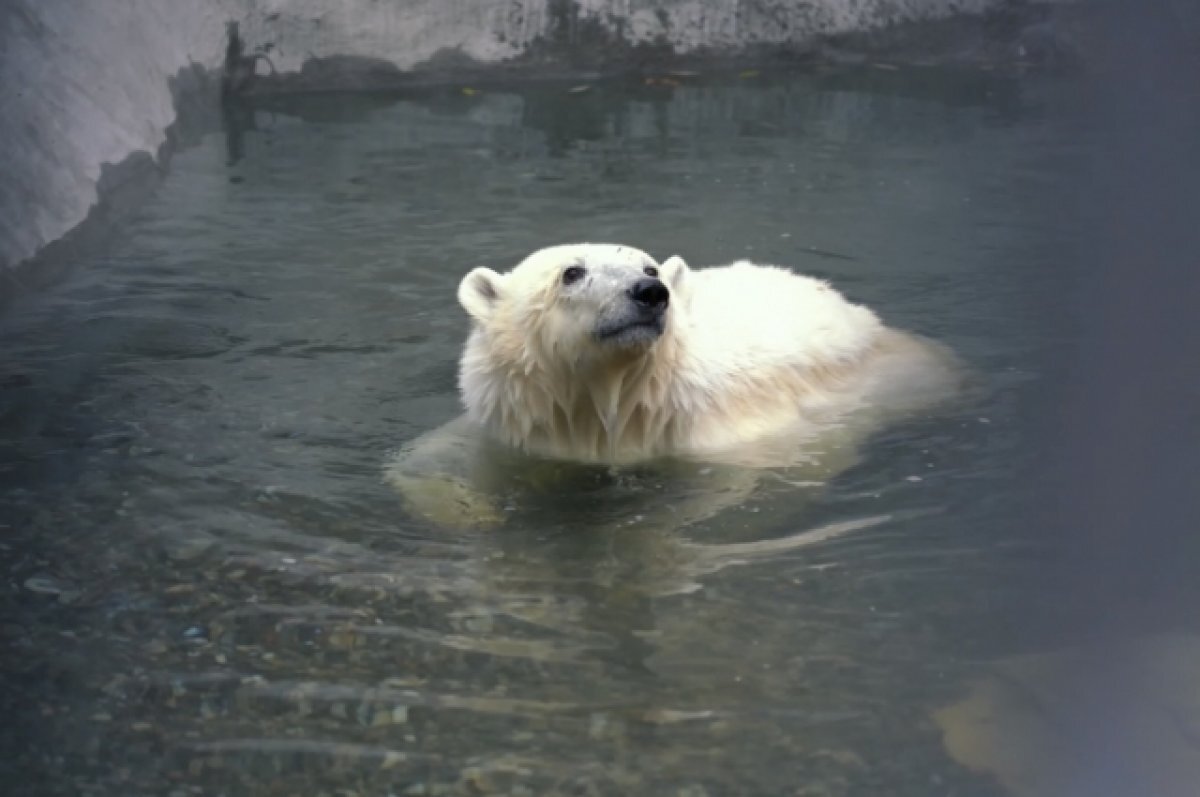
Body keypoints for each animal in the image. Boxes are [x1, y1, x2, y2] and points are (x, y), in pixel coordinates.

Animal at [388, 242, 960, 528]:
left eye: (649, 266)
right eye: (572, 272)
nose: (650, 291)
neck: (610, 402)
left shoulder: (712, 434)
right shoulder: (518, 425)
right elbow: (430, 462)